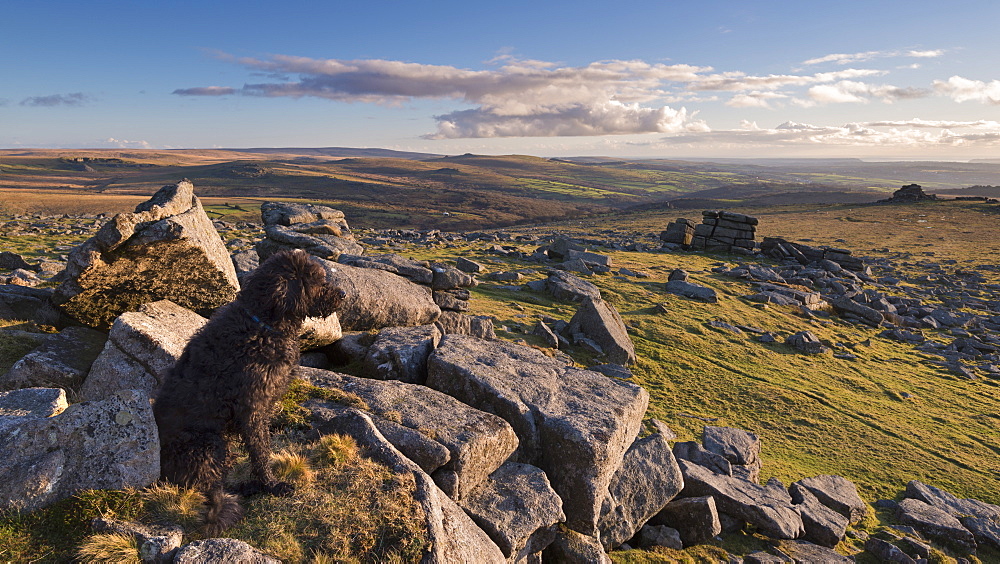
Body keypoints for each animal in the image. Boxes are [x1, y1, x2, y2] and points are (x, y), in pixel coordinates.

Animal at [152, 248, 346, 532]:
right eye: (318, 281)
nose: (342, 294)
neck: (262, 323)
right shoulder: (252, 406)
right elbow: (260, 450)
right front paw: (272, 485)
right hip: (209, 442)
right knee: (206, 483)